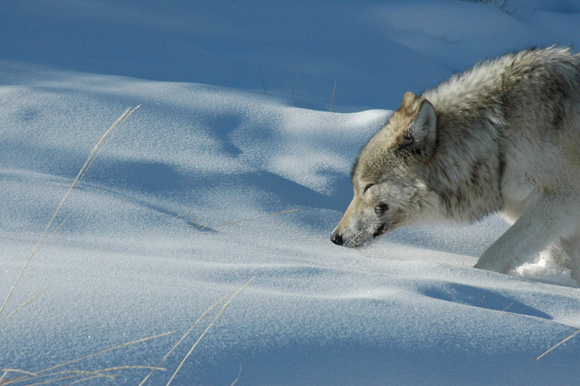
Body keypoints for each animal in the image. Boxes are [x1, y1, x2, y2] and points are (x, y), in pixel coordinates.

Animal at [330, 46, 580, 284]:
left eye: (368, 187)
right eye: (356, 188)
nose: (335, 238)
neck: (500, 137)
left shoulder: (558, 200)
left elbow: (493, 256)